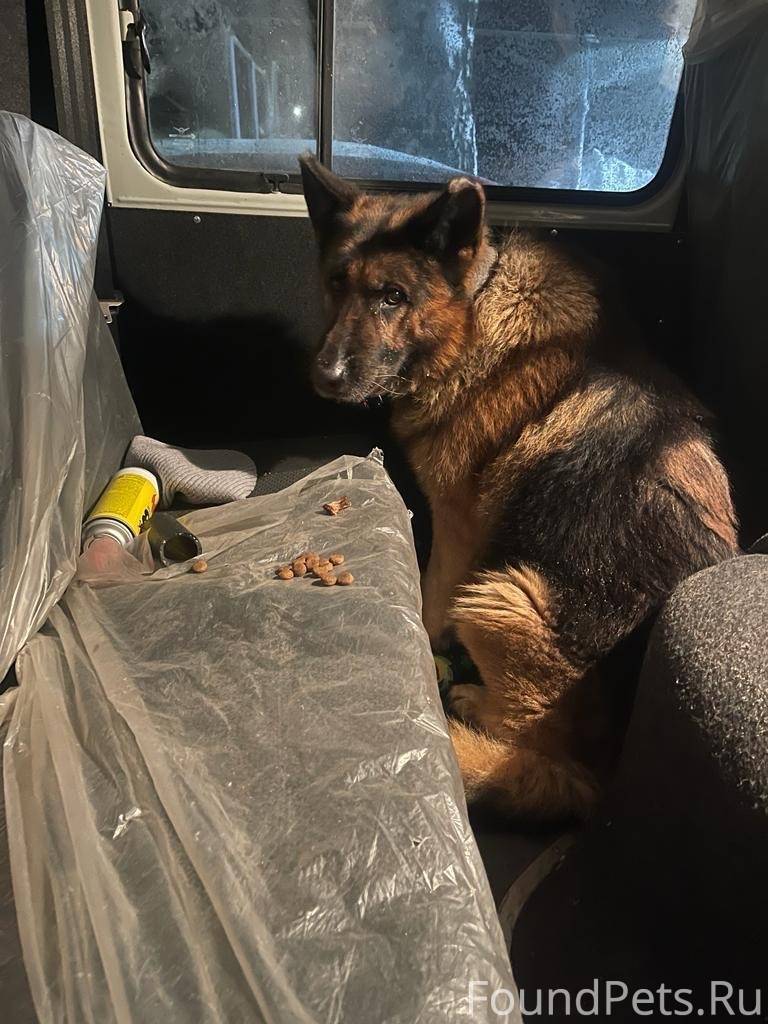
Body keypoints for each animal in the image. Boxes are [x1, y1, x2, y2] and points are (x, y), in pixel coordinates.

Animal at [299, 155, 738, 821]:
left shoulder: (456, 532)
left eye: (393, 297)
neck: (476, 306)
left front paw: (419, 651)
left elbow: (428, 604)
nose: (325, 377)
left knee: (535, 750)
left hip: (500, 594)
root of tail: (609, 777)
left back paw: (473, 712)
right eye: (335, 284)